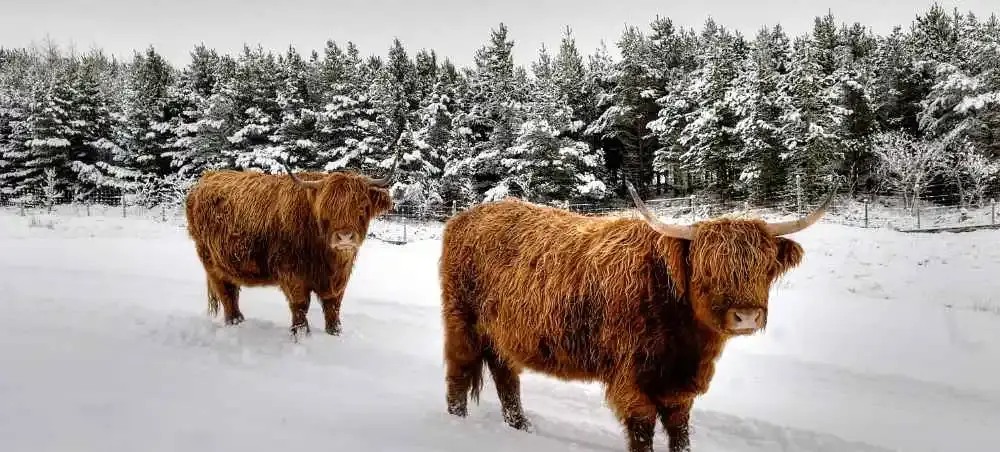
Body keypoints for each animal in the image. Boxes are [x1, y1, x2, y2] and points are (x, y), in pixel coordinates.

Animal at [184, 126, 405, 338]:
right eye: (326, 208)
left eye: (362, 206)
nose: (345, 237)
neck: (327, 257)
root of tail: (206, 178)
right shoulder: (292, 273)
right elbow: (300, 305)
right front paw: (301, 334)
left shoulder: (339, 278)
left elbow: (333, 305)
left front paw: (335, 332)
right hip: (210, 261)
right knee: (226, 292)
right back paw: (235, 322)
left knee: (233, 291)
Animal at [439, 182, 835, 452]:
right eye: (706, 270)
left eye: (764, 267)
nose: (747, 316)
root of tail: (464, 217)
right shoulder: (633, 382)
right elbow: (642, 432)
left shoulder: (677, 387)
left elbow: (679, 430)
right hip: (462, 322)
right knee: (459, 373)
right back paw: (458, 424)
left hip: (501, 334)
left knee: (506, 377)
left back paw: (522, 427)